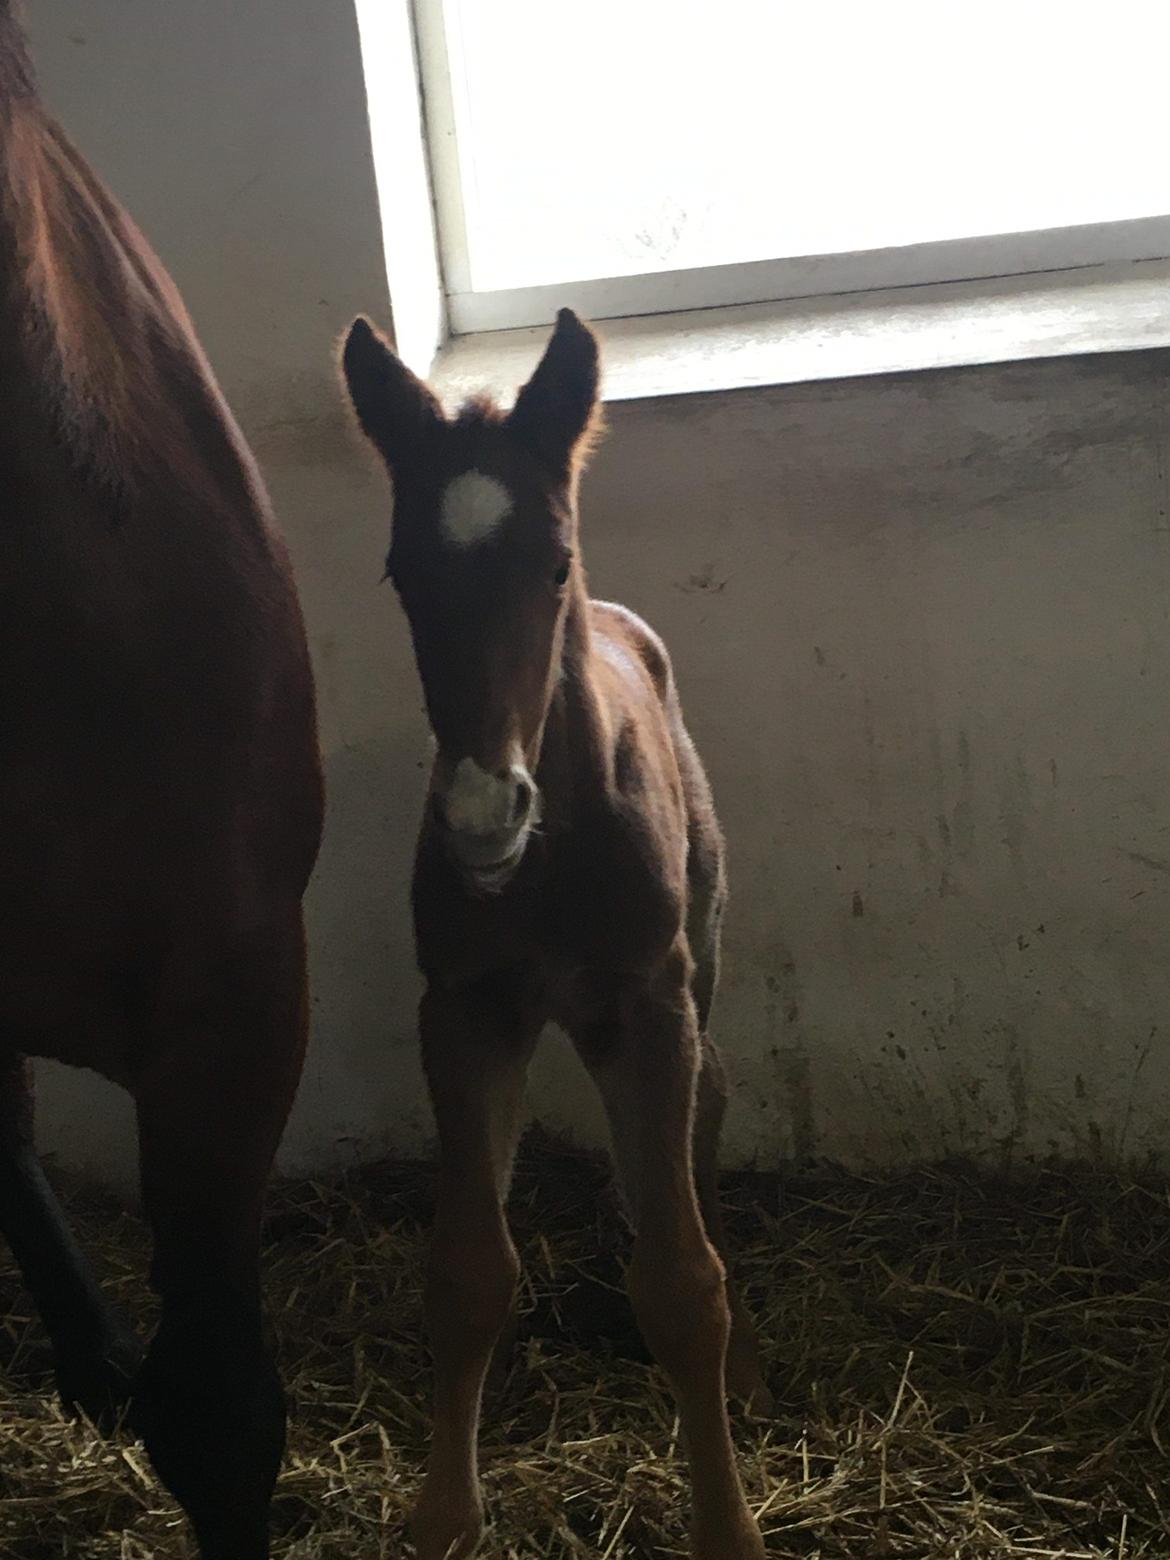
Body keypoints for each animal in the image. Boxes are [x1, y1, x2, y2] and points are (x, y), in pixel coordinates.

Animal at [343, 307, 773, 1560]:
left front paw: (728, 1527)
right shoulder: (466, 1008)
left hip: (694, 968)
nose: (484, 815)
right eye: (403, 572)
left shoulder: (648, 1002)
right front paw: (444, 1518)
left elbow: (682, 1282)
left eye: (553, 562)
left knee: (710, 1101)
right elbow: (466, 1271)